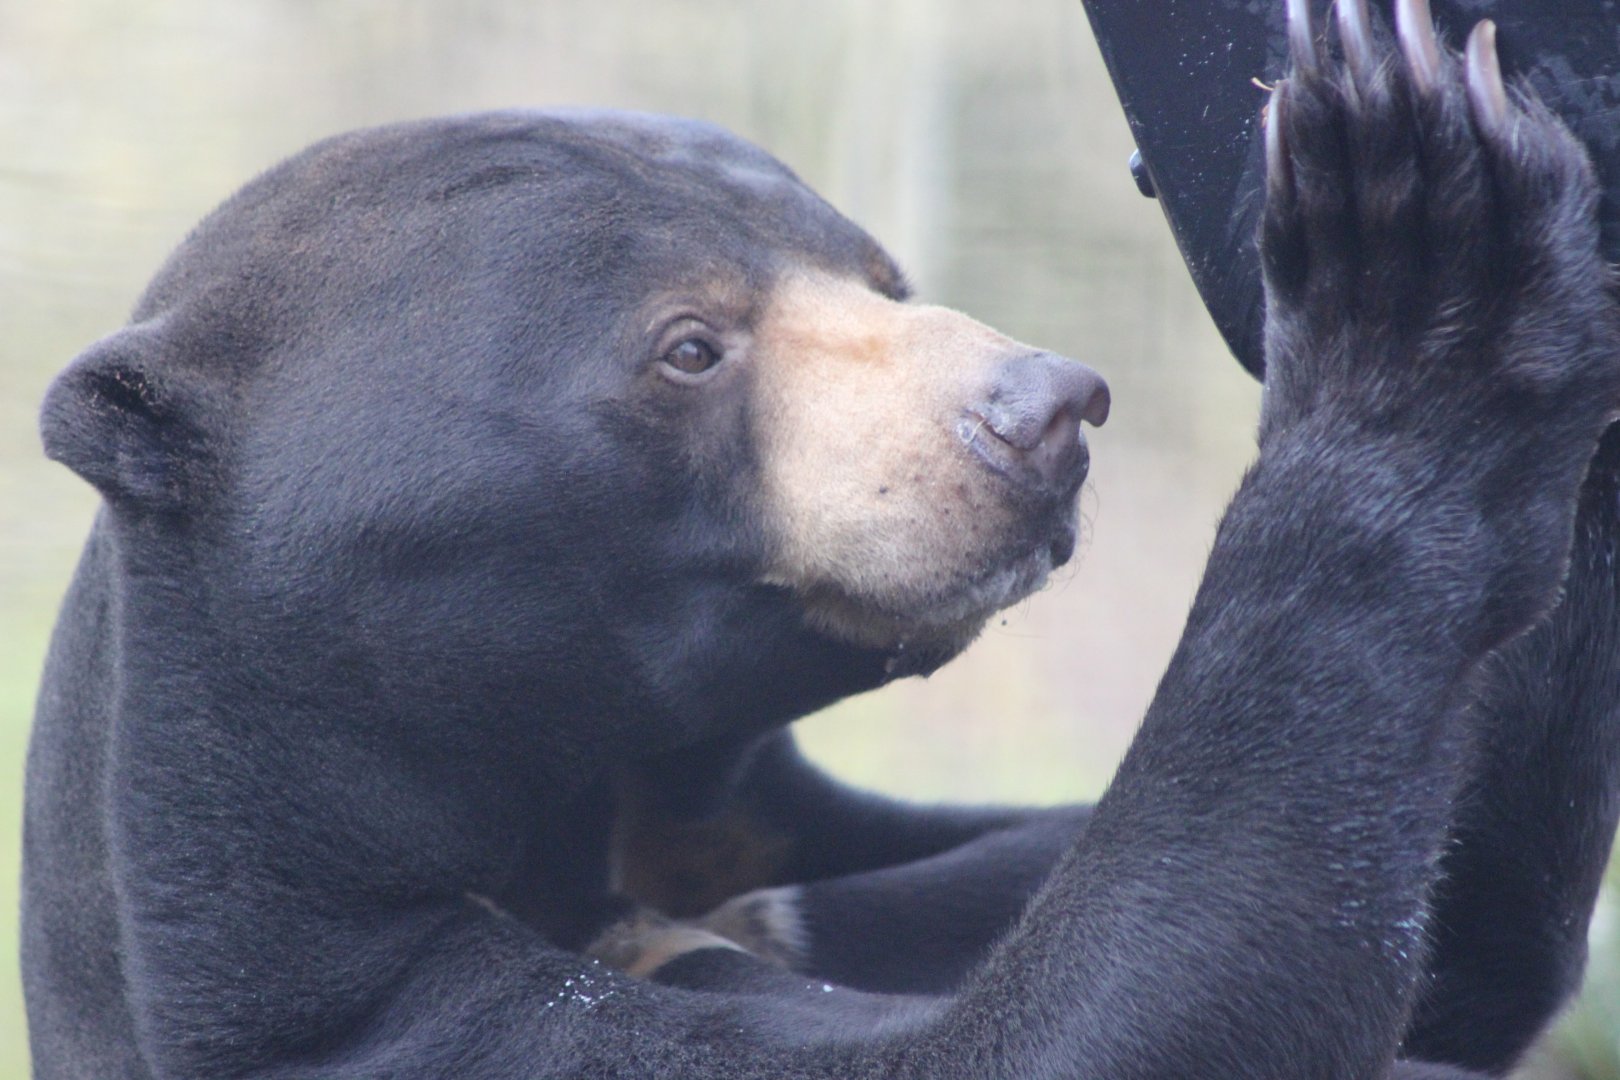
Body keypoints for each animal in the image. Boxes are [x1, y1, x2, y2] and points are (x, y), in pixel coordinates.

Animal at [21, 0, 1620, 1076]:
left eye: (881, 274)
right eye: (689, 347)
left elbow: (1465, 928)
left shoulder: (764, 832)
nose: (1046, 409)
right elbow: (1117, 1024)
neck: (588, 816)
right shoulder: (391, 1018)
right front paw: (1414, 257)